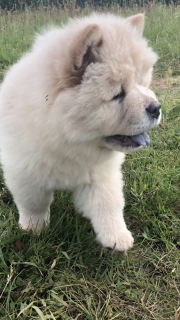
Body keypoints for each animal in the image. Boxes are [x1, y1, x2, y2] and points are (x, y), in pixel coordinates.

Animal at [0, 13, 161, 251]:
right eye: (118, 94)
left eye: (143, 84)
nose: (156, 108)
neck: (70, 142)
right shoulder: (25, 173)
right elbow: (33, 203)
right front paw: (34, 229)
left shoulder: (99, 173)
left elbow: (108, 203)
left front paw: (117, 238)